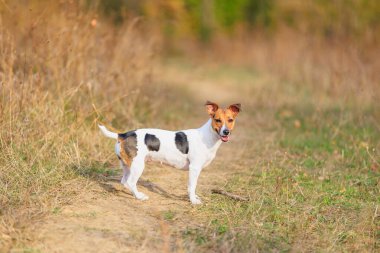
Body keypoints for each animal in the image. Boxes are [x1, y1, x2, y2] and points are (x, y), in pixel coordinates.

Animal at [98, 100, 240, 204]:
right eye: (217, 120)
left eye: (230, 120)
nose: (226, 132)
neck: (207, 137)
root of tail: (122, 135)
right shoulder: (194, 168)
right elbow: (192, 186)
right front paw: (193, 201)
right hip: (138, 166)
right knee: (130, 182)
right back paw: (139, 197)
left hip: (128, 165)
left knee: (124, 182)